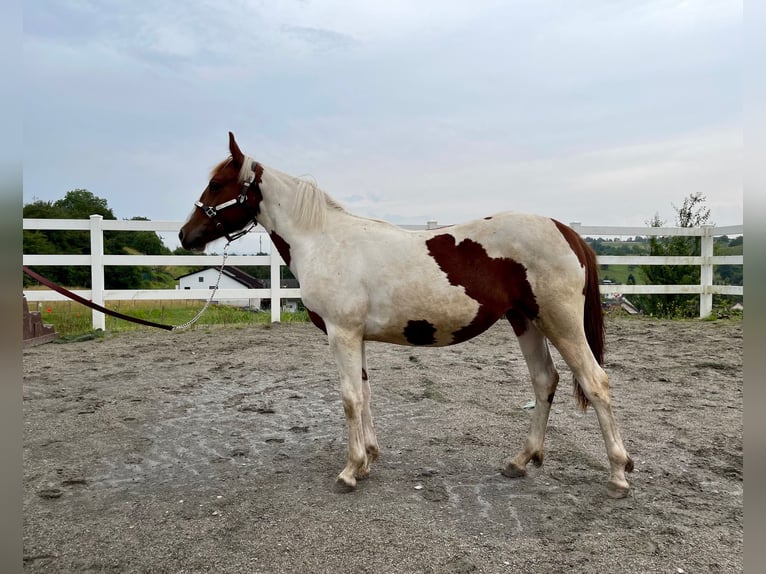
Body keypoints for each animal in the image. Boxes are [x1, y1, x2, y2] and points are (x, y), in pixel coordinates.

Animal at [182, 132, 636, 500]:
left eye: (217, 184)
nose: (187, 235)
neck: (324, 240)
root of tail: (567, 231)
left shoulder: (341, 334)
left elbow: (349, 398)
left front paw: (349, 471)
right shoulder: (355, 337)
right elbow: (364, 394)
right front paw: (368, 458)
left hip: (560, 323)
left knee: (595, 382)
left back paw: (617, 474)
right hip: (526, 322)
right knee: (545, 381)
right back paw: (521, 460)